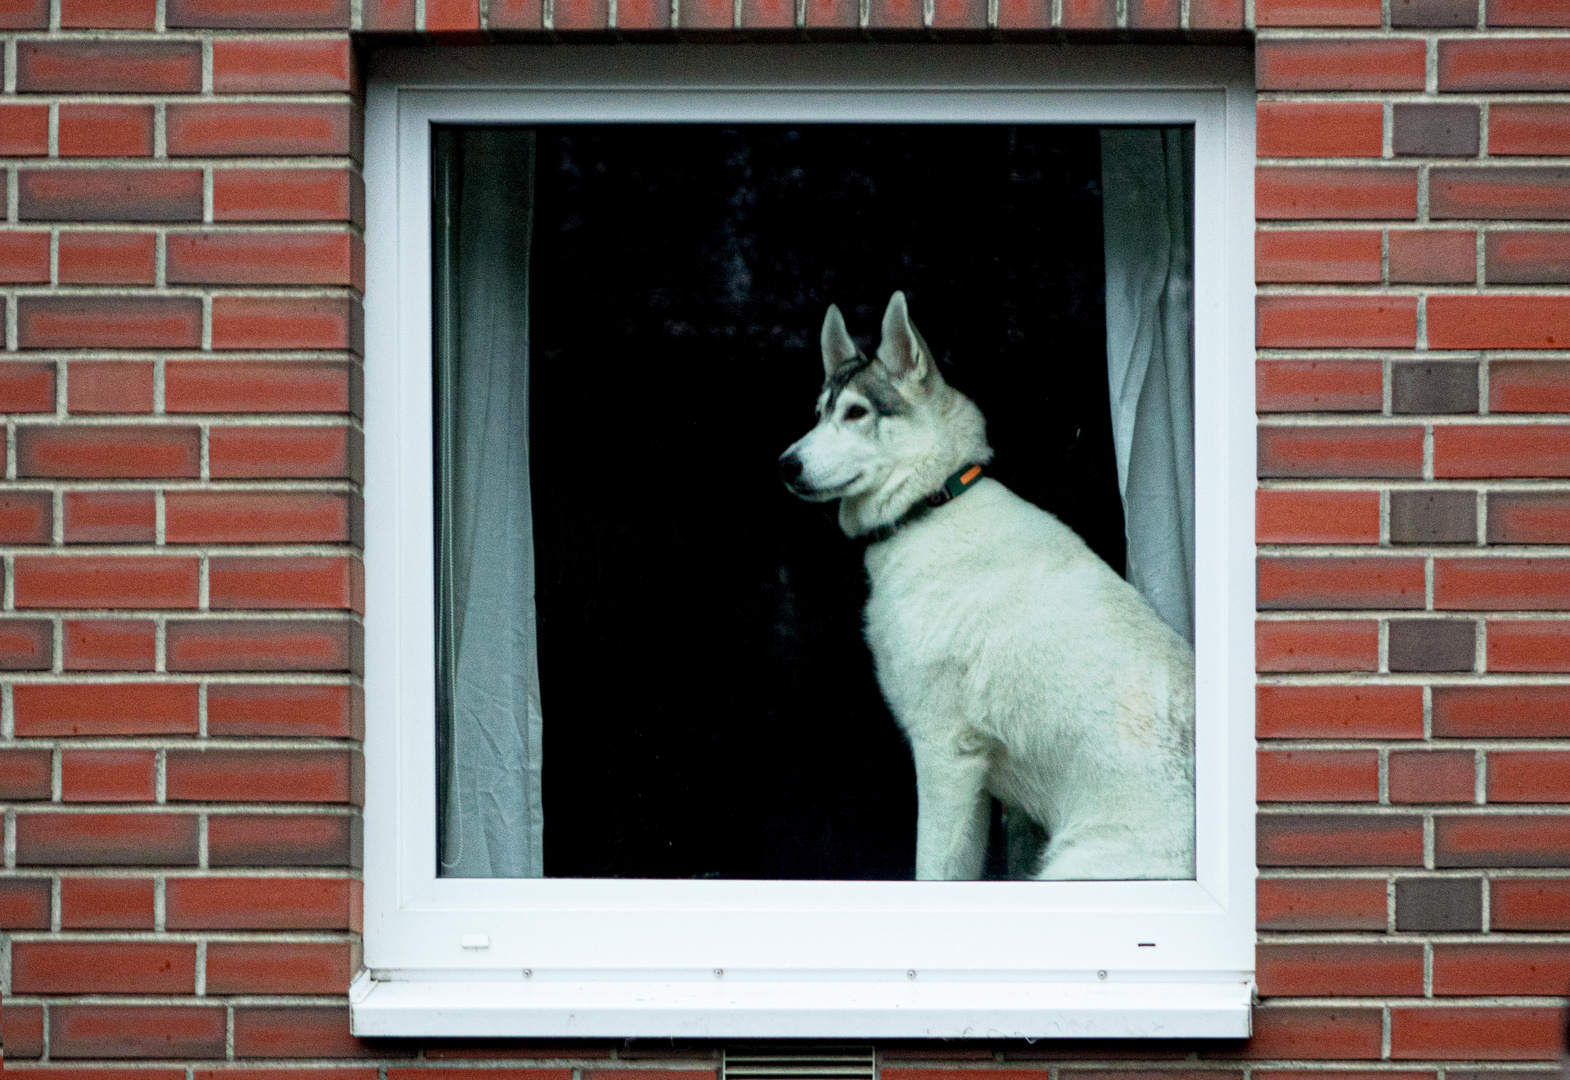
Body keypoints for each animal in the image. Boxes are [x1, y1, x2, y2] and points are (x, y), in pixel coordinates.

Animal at [778, 293, 1193, 879]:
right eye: (818, 415)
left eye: (856, 413)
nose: (785, 465)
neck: (930, 506)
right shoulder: (978, 788)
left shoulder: (943, 753)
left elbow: (931, 869)